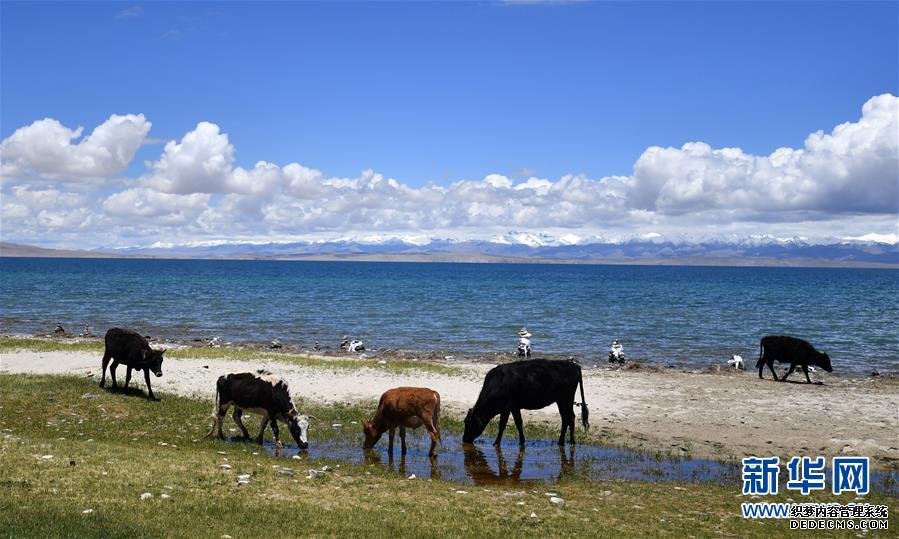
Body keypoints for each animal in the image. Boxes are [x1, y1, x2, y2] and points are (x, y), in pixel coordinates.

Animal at [464, 362, 592, 448]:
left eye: (468, 422)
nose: (464, 440)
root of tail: (573, 365)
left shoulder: (511, 406)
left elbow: (512, 424)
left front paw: (498, 443)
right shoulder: (508, 408)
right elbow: (508, 424)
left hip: (566, 399)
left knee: (570, 417)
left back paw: (572, 442)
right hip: (561, 400)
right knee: (565, 418)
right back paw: (561, 441)